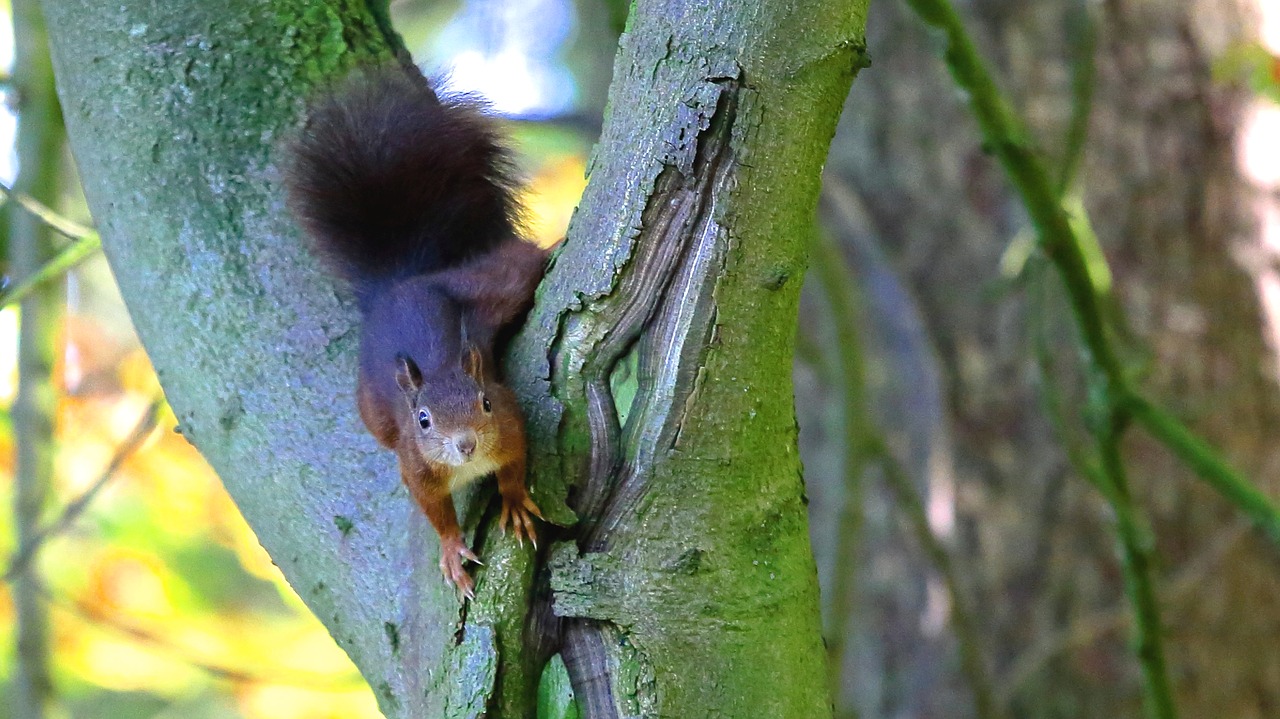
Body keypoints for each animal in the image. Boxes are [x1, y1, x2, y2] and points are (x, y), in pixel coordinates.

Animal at [284, 67, 546, 598]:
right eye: (423, 420)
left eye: (485, 402)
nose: (465, 444)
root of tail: (400, 284)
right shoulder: (416, 464)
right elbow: (435, 513)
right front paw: (450, 551)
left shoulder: (510, 427)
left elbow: (514, 468)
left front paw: (512, 502)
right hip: (373, 410)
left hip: (496, 284)